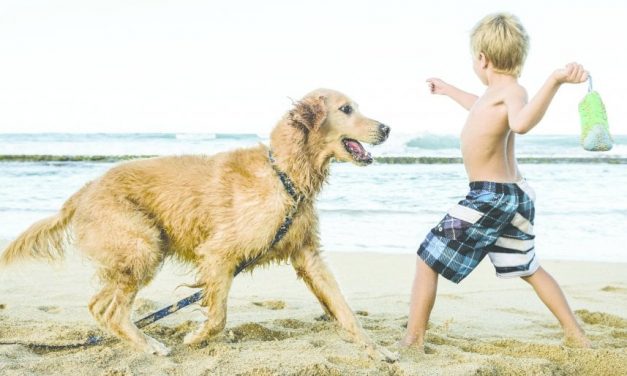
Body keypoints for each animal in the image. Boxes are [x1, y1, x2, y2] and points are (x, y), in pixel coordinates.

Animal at [0, 88, 394, 362]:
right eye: (346, 109)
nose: (388, 128)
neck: (284, 175)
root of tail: (83, 191)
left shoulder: (308, 255)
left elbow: (345, 310)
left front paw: (377, 351)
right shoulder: (219, 254)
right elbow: (218, 315)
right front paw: (196, 337)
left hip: (133, 252)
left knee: (99, 305)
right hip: (144, 246)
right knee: (112, 310)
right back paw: (150, 345)